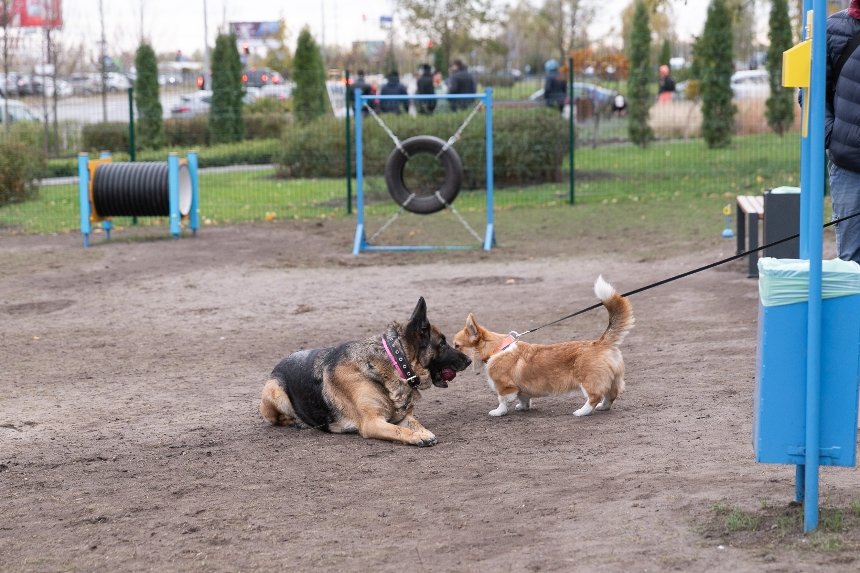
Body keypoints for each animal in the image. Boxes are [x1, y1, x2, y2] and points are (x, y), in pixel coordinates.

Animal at [258, 298, 470, 444]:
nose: (469, 360)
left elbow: (415, 423)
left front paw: (422, 431)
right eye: (442, 344)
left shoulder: (402, 416)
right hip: (275, 391)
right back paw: (297, 422)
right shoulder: (372, 422)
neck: (394, 363)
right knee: (278, 419)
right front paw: (417, 437)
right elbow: (398, 430)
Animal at [454, 276, 636, 416]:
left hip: (588, 381)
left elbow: (502, 400)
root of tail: (601, 342)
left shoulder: (505, 387)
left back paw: (581, 412)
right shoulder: (520, 389)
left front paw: (498, 412)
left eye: (456, 346)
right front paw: (523, 407)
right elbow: (524, 398)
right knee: (611, 395)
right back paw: (602, 408)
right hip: (613, 380)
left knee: (594, 397)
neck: (498, 349)